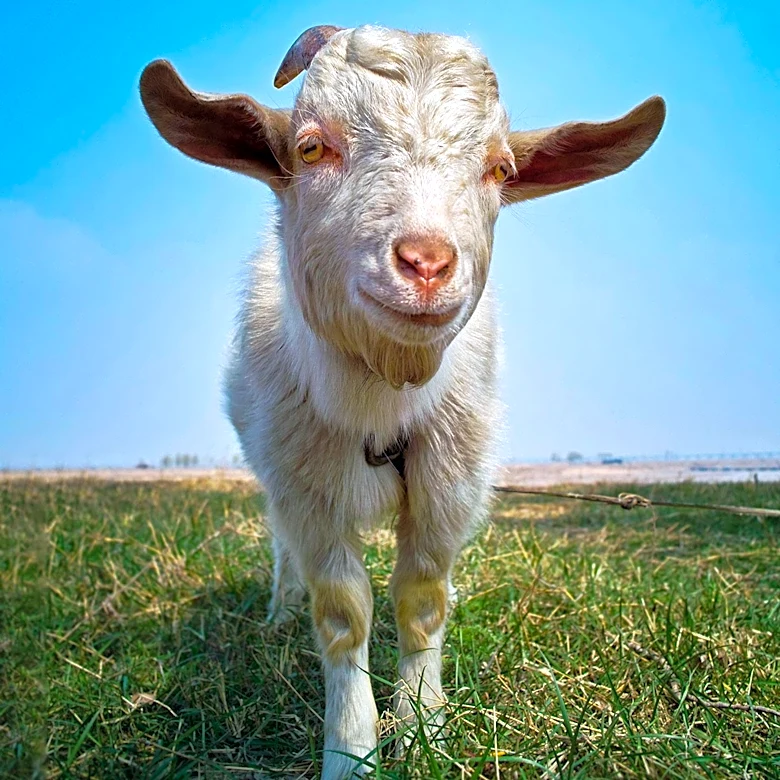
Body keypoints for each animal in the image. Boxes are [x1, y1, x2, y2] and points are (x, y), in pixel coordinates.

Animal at [140, 25, 665, 779]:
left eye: (500, 169)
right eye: (311, 147)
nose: (426, 264)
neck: (385, 396)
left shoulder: (451, 482)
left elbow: (421, 601)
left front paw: (422, 728)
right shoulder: (309, 489)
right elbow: (342, 614)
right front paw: (351, 750)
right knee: (281, 546)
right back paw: (279, 610)